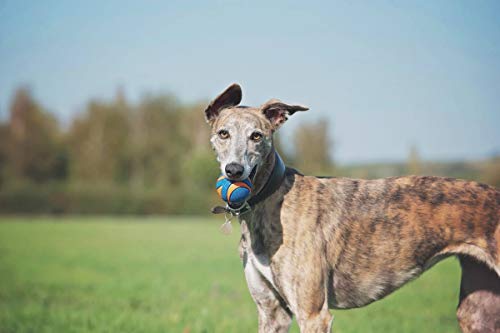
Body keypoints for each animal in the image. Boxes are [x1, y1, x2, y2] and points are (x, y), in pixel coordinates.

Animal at [204, 83, 500, 332]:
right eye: (223, 133)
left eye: (256, 136)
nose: (234, 171)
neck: (273, 200)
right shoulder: (271, 312)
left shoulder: (313, 314)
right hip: (478, 309)